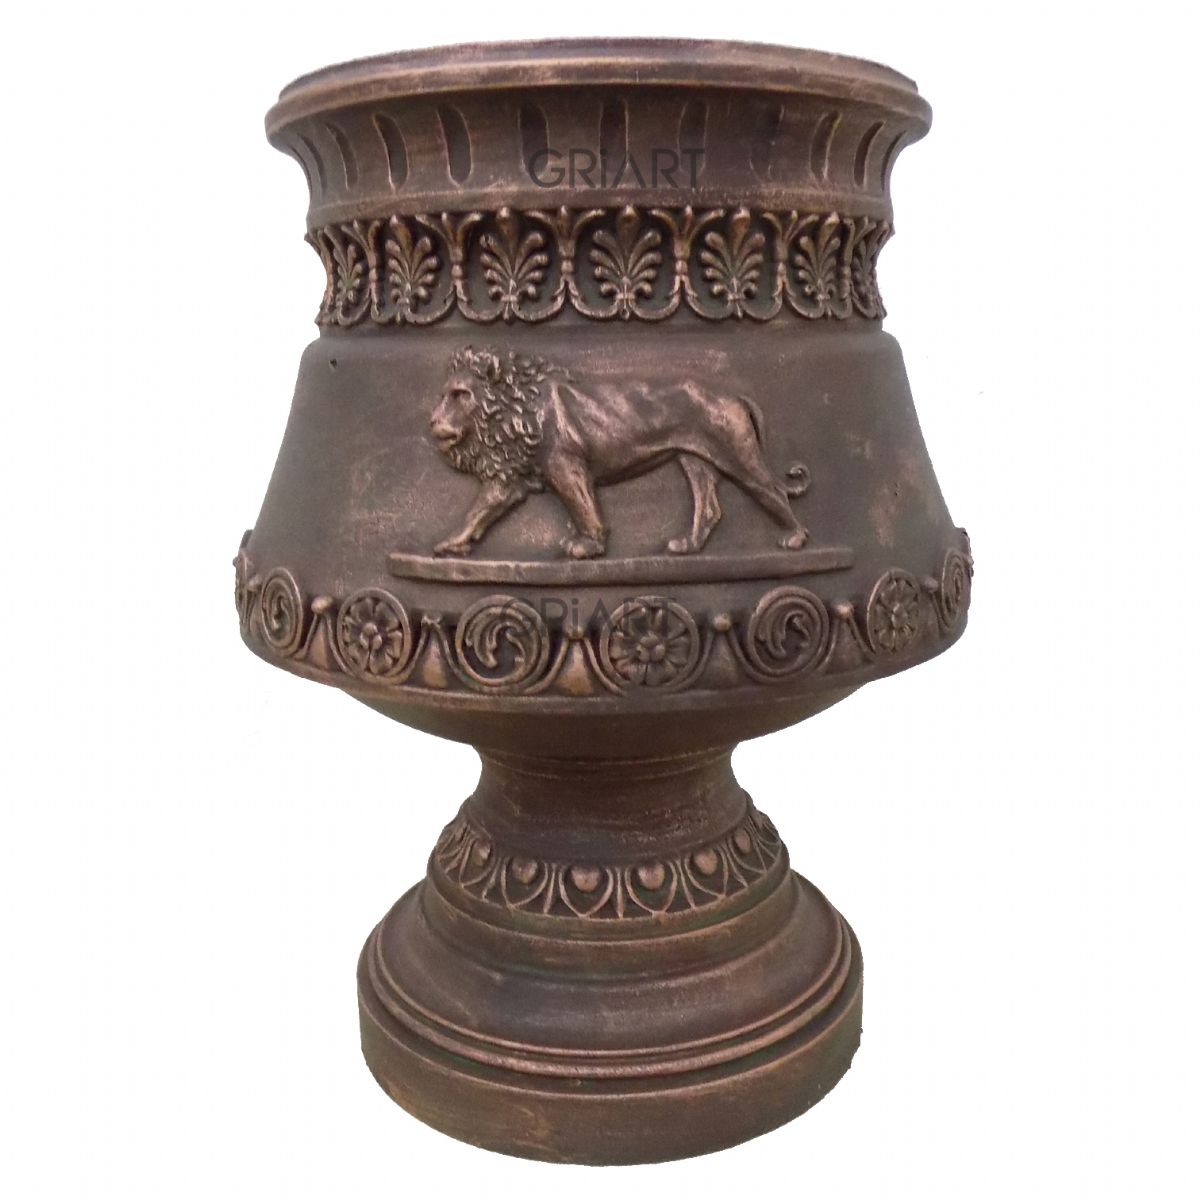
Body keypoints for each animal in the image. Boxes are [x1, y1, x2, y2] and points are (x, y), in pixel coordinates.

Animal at [429, 347, 811, 559]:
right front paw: (451, 544)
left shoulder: (565, 465)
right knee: (710, 508)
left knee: (771, 490)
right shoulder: (508, 474)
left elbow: (584, 506)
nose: (433, 421)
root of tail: (734, 397)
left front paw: (589, 546)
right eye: (444, 394)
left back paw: (795, 539)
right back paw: (688, 545)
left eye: (460, 394)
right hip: (694, 460)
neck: (515, 410)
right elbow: (479, 510)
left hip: (736, 453)